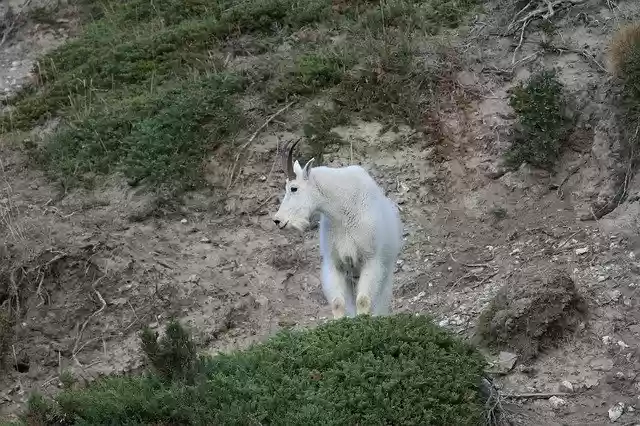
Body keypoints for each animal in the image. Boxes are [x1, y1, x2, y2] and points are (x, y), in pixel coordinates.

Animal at [272, 139, 403, 319]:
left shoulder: (371, 260)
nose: (278, 220)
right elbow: (338, 303)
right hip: (352, 276)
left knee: (382, 300)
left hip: (386, 269)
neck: (342, 209)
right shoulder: (335, 264)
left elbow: (363, 300)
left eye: (294, 188)